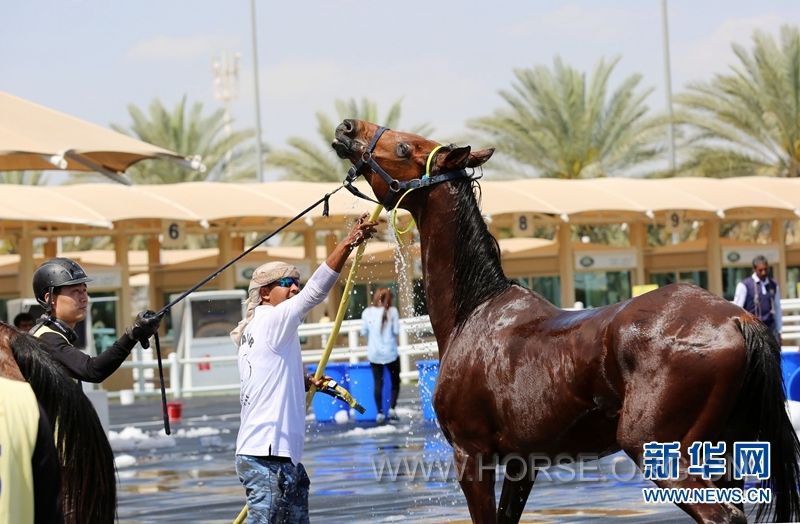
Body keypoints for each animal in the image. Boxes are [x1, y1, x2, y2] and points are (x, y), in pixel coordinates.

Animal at [334, 119, 800, 524]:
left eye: (404, 147)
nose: (347, 128)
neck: (476, 311)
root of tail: (736, 319)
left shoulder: (472, 455)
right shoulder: (523, 464)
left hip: (659, 451)